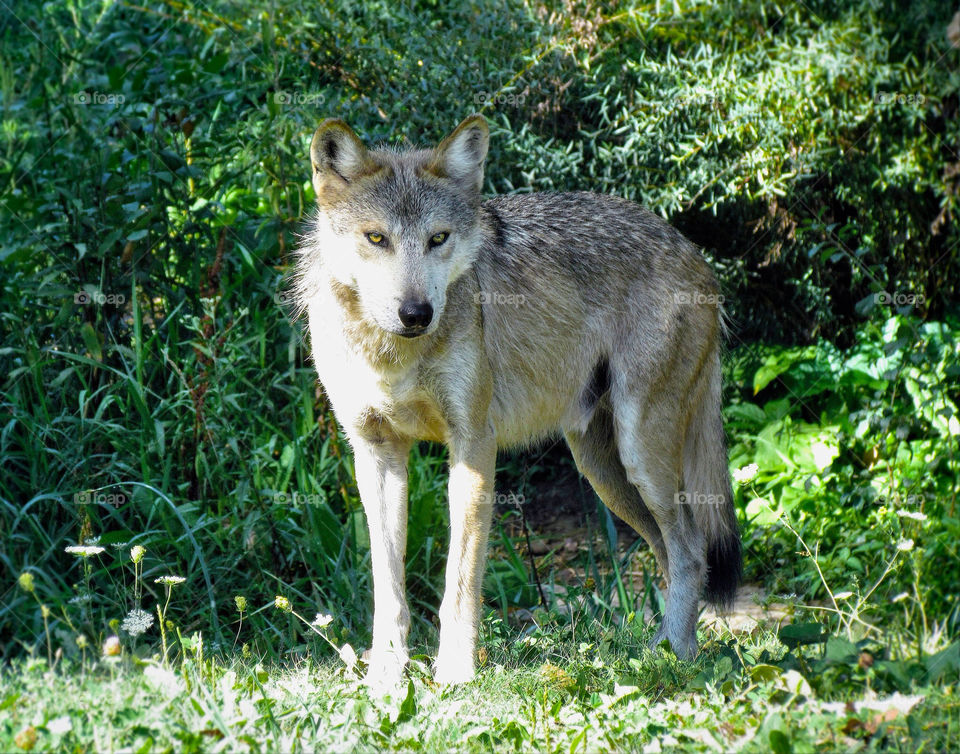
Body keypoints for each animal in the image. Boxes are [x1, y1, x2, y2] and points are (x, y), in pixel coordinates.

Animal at [292, 113, 744, 688]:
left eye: (438, 239)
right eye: (377, 238)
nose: (416, 313)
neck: (394, 355)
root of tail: (694, 254)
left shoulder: (473, 444)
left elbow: (460, 582)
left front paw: (455, 672)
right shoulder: (376, 452)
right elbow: (388, 590)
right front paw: (386, 678)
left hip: (640, 457)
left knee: (691, 548)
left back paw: (675, 657)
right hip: (605, 472)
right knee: (672, 552)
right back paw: (658, 652)